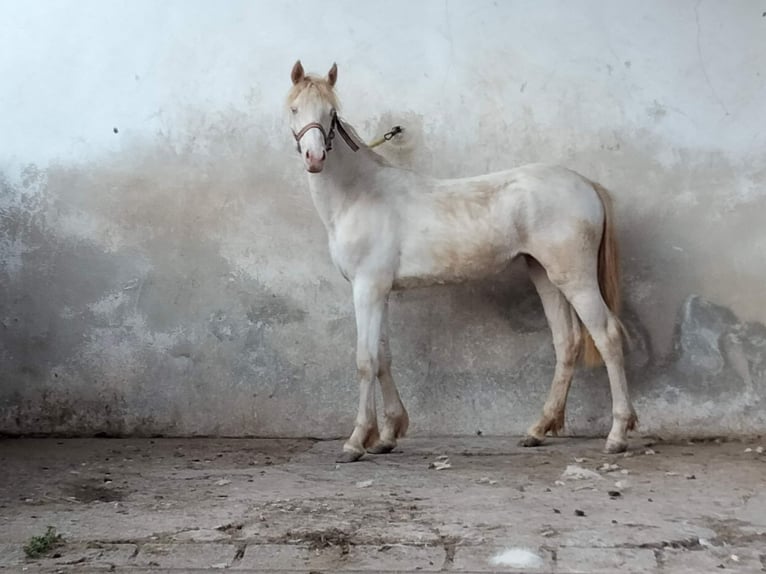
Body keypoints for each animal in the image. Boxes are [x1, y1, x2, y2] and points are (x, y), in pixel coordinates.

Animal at [284, 62, 640, 464]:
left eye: (331, 114)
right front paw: (388, 434)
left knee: (607, 336)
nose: (315, 158)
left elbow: (366, 361)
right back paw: (537, 430)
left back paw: (617, 435)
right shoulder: (379, 291)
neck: (359, 195)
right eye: (295, 109)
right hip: (545, 275)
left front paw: (357, 440)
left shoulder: (367, 288)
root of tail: (586, 184)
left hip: (575, 278)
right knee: (567, 342)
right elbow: (384, 357)